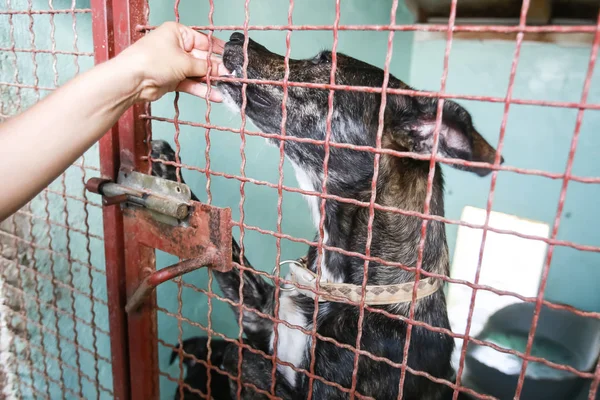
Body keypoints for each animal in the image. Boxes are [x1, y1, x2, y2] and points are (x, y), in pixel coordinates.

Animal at [152, 32, 500, 400]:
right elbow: (228, 257)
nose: (236, 36)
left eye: (326, 64)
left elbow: (239, 353)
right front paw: (169, 175)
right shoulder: (261, 316)